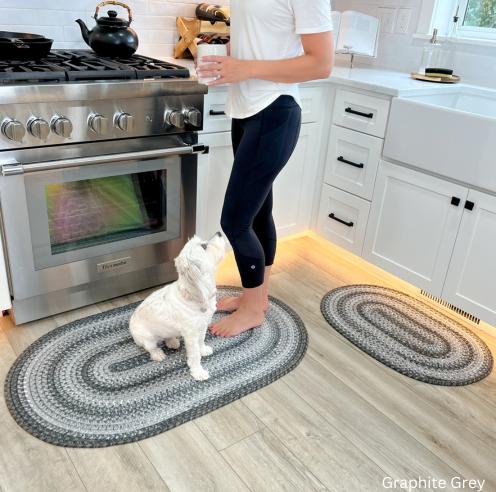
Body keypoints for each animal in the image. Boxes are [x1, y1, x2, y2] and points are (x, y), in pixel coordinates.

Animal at [130, 234, 227, 380]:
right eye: (204, 246)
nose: (219, 233)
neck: (195, 295)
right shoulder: (191, 335)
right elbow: (195, 355)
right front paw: (198, 372)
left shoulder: (202, 326)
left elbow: (201, 340)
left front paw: (203, 349)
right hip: (147, 338)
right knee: (151, 347)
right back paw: (158, 354)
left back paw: (172, 341)